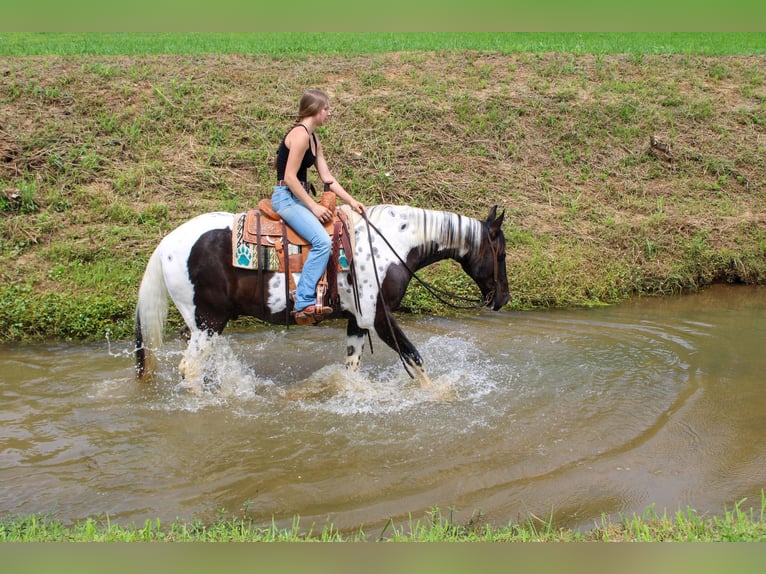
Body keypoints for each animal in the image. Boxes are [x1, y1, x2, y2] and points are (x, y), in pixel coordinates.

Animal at [135, 204, 510, 392]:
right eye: (502, 253)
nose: (503, 299)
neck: (389, 244)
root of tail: (167, 243)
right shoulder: (379, 317)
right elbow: (415, 358)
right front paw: (437, 396)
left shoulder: (358, 320)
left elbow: (352, 368)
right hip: (208, 321)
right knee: (190, 368)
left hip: (202, 325)